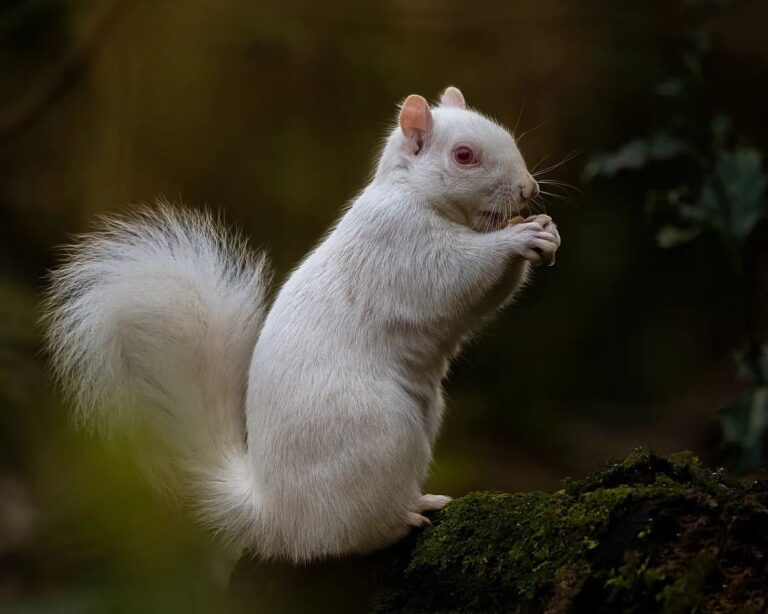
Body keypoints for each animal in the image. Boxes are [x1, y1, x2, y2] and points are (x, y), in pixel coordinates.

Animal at [43, 86, 560, 564]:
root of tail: (275, 515)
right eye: (464, 155)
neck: (412, 192)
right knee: (345, 537)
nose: (528, 189)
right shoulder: (401, 244)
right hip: (377, 435)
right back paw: (403, 519)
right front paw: (518, 237)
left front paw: (547, 232)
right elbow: (455, 276)